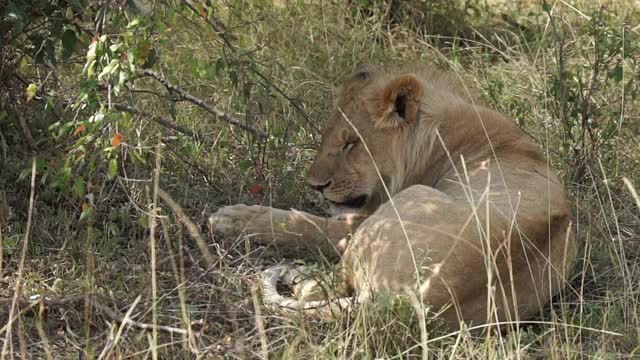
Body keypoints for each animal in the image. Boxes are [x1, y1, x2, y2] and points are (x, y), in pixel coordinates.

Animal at [209, 64, 576, 330]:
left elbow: (306, 224)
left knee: (325, 285)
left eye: (351, 143)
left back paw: (298, 274)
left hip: (407, 204)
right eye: (326, 137)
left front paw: (235, 218)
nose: (315, 185)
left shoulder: (360, 217)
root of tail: (403, 302)